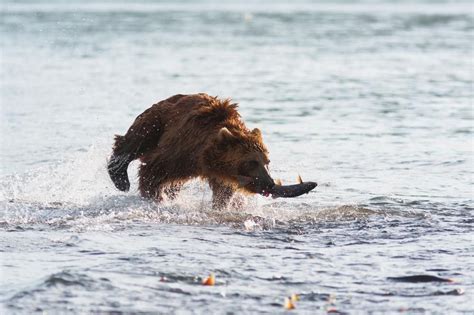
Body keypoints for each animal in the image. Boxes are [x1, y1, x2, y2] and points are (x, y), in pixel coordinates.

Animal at [107, 92, 314, 209]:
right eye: (251, 162)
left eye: (267, 162)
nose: (269, 183)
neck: (203, 156)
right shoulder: (181, 149)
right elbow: (154, 170)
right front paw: (156, 196)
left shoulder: (222, 173)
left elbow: (224, 191)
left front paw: (222, 205)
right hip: (158, 121)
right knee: (134, 141)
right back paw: (120, 178)